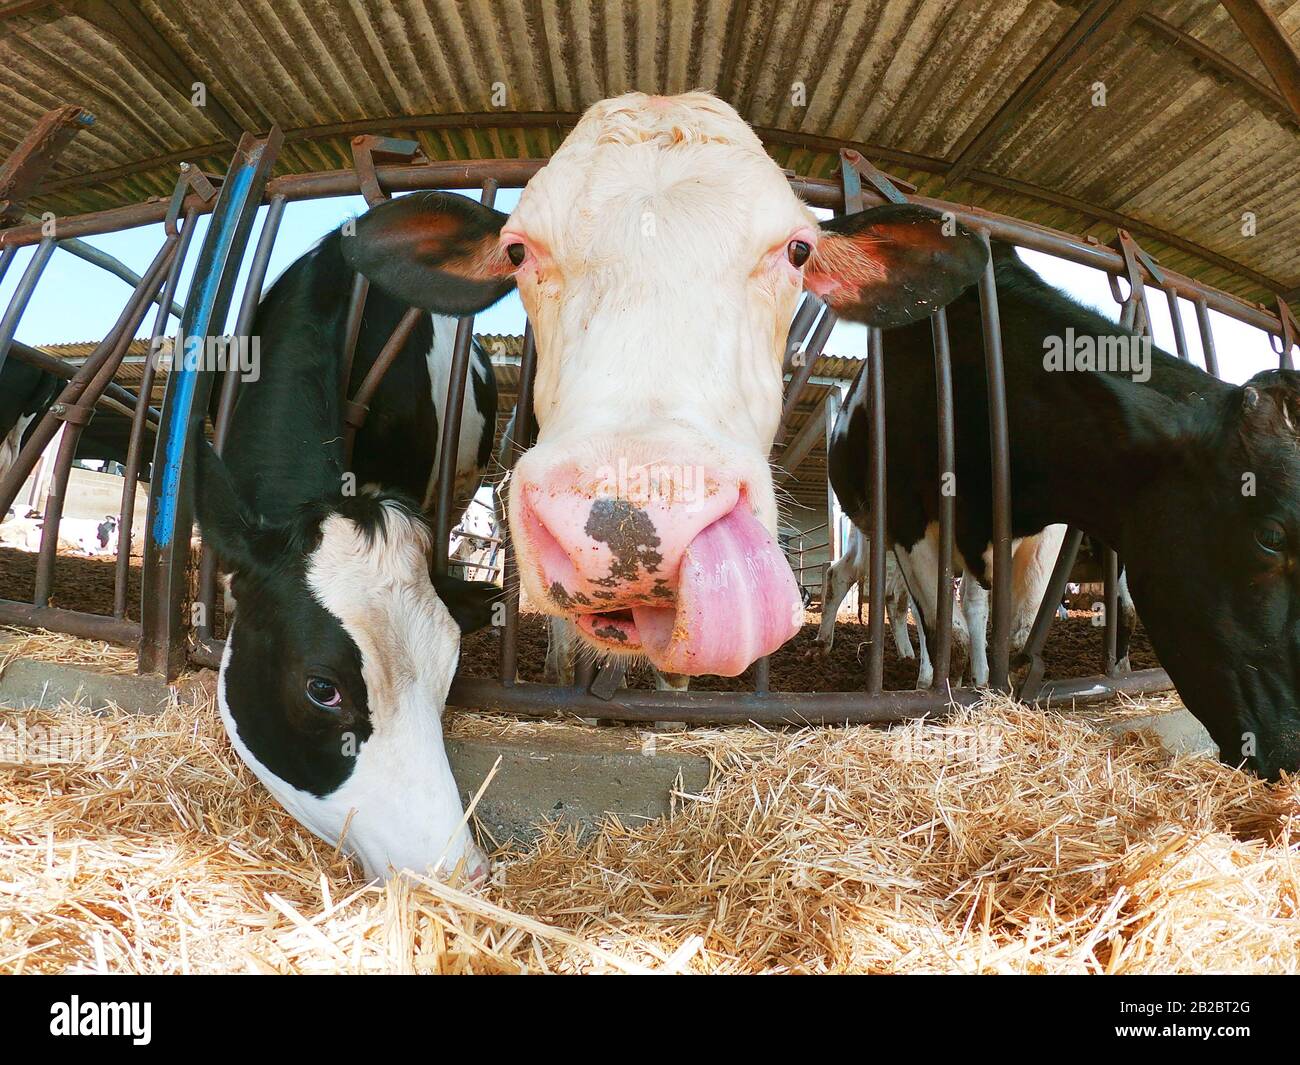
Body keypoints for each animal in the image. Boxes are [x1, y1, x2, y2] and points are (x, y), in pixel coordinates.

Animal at [829, 241, 1300, 778]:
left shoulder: (1044, 533)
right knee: (894, 599)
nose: (1292, 756)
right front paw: (945, 700)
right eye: (1271, 537)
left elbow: (1016, 632)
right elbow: (945, 632)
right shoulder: (909, 520)